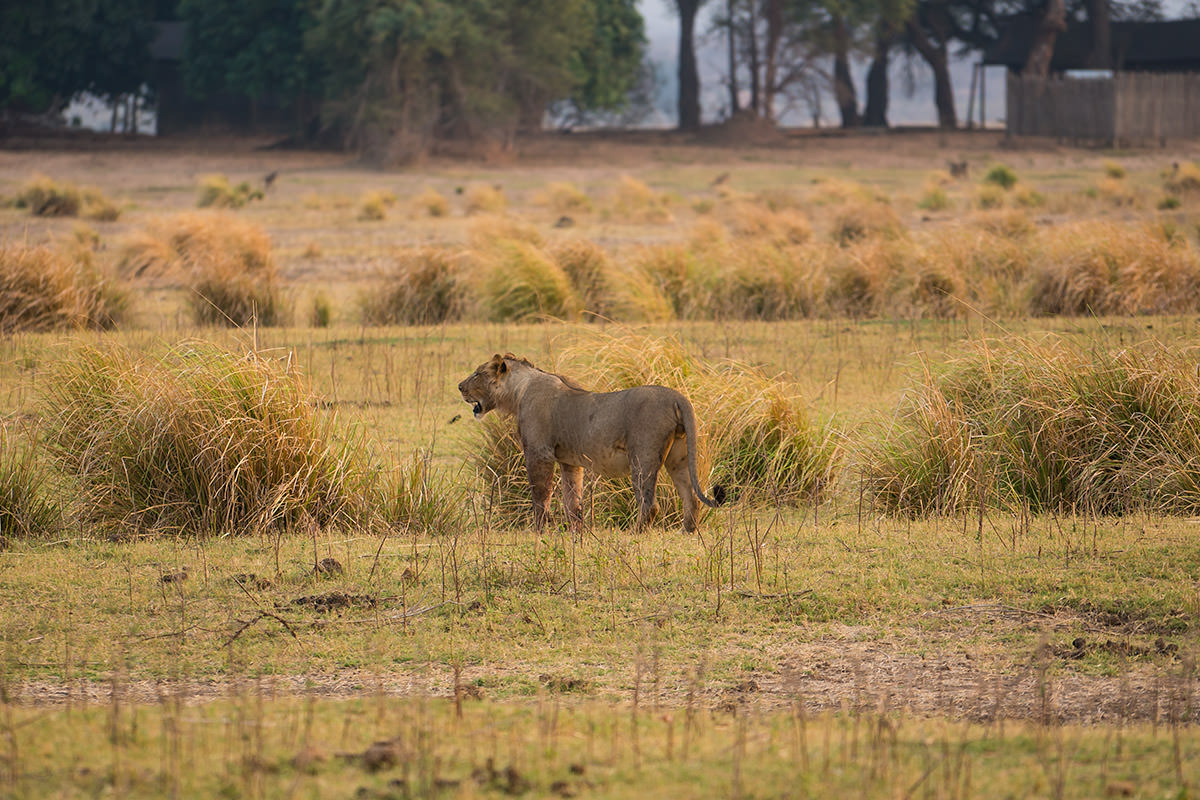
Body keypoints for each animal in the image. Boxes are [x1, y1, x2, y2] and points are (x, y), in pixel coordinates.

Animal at [456, 355, 720, 532]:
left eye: (477, 373)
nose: (459, 386)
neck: (517, 392)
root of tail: (678, 396)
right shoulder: (570, 461)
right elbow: (572, 500)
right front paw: (576, 533)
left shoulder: (538, 453)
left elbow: (540, 495)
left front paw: (539, 531)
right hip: (679, 456)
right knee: (691, 497)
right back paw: (687, 531)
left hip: (642, 456)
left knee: (649, 503)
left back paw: (635, 533)